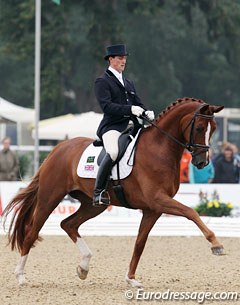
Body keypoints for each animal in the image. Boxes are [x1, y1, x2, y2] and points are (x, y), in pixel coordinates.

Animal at [1, 97, 224, 284]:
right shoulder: (158, 199)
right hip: (50, 197)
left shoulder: (153, 209)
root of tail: (57, 149)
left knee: (68, 224)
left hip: (93, 205)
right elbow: (191, 212)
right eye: (200, 127)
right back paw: (21, 276)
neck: (160, 149)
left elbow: (139, 243)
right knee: (32, 231)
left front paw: (131, 279)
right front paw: (216, 244)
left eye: (213, 129)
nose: (202, 162)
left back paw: (84, 266)